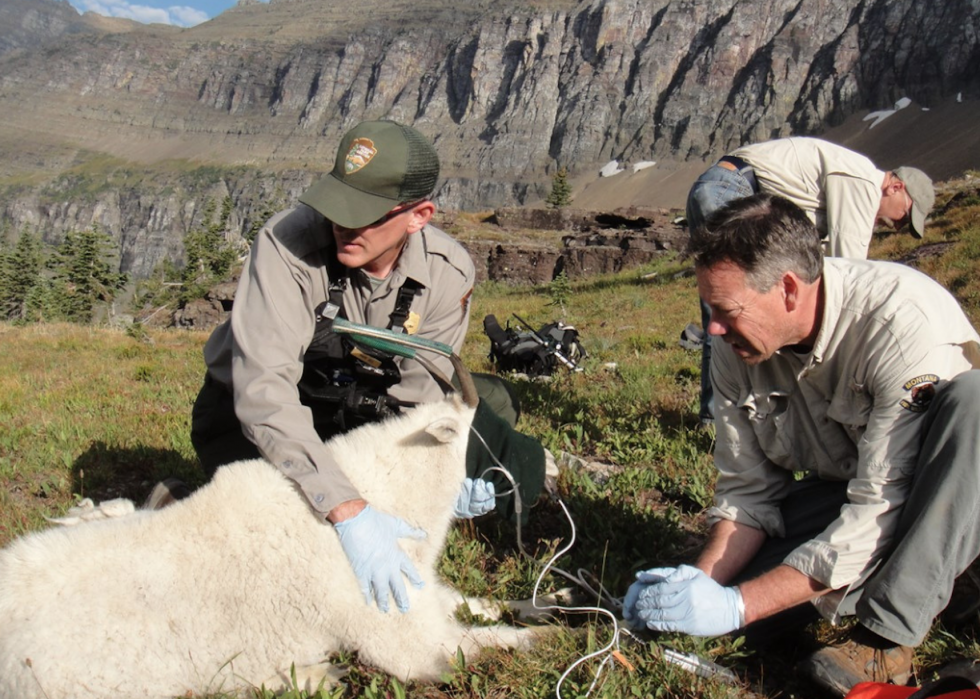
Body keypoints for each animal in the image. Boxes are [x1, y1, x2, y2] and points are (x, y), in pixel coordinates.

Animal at [0, 394, 544, 699]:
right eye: (486, 427)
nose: (546, 473)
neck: (385, 501)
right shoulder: (402, 637)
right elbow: (481, 644)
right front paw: (552, 637)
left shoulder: (422, 590)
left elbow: (483, 605)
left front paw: (550, 602)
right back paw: (317, 674)